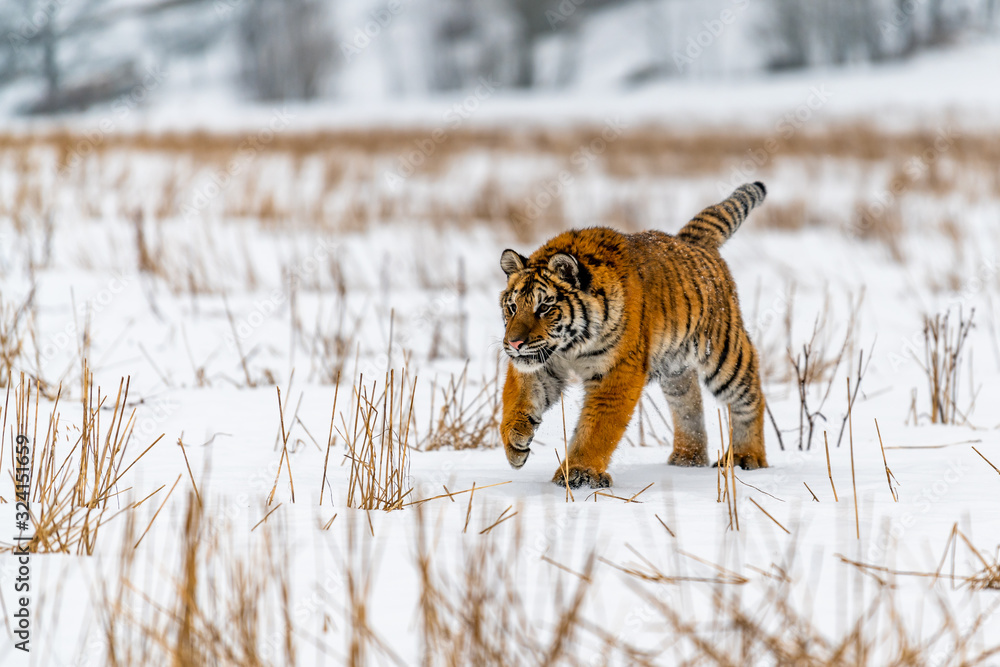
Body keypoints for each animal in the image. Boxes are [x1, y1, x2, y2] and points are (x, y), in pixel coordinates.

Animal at [498, 181, 769, 489]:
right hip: (676, 367)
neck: (571, 346)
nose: (514, 343)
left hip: (725, 354)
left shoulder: (617, 371)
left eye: (544, 307)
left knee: (751, 397)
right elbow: (517, 400)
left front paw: (580, 472)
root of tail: (693, 242)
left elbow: (597, 428)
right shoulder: (540, 364)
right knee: (689, 404)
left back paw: (746, 457)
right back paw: (687, 459)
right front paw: (515, 442)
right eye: (512, 307)